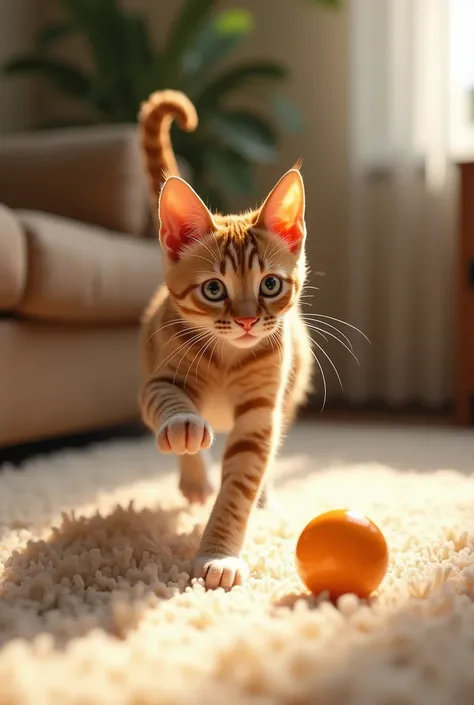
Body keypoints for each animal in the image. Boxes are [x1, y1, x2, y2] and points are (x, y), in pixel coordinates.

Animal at [139, 91, 312, 592]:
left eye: (270, 285)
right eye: (214, 289)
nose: (249, 320)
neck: (227, 358)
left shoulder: (260, 413)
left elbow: (241, 484)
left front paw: (219, 555)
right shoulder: (158, 377)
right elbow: (167, 401)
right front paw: (183, 426)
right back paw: (194, 475)